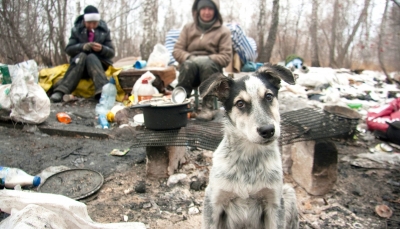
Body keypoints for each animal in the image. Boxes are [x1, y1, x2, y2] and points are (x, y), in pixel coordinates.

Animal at [199, 63, 296, 229]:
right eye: (240, 103)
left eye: (269, 96)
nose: (268, 130)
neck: (249, 157)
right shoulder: (213, 200)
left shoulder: (275, 203)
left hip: (289, 193)